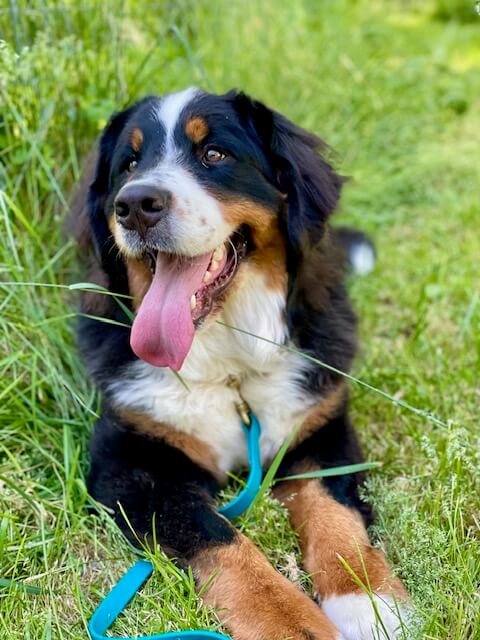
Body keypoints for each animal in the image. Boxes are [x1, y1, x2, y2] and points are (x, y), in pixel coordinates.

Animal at [72, 89, 412, 640]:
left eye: (214, 154)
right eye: (129, 164)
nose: (136, 205)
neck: (229, 367)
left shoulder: (318, 429)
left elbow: (335, 514)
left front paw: (369, 600)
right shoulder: (132, 463)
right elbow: (222, 540)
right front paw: (297, 626)